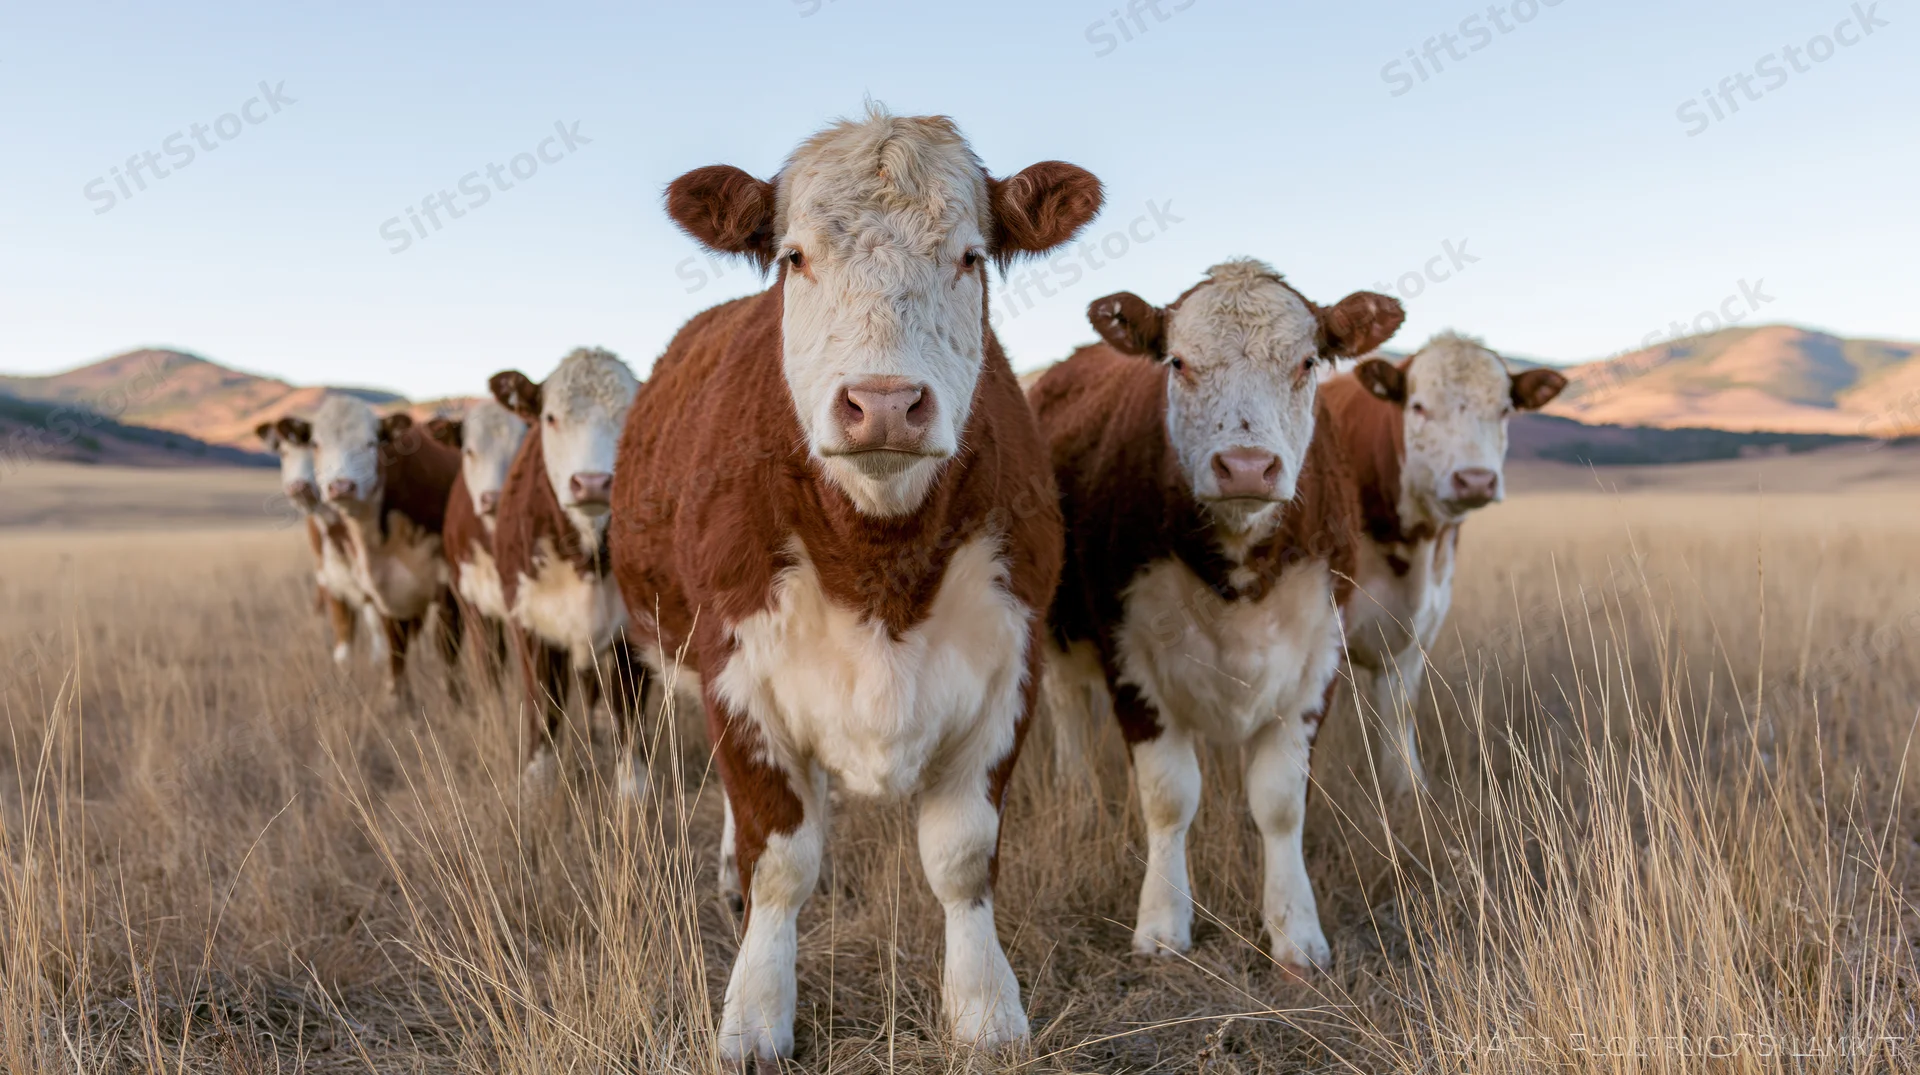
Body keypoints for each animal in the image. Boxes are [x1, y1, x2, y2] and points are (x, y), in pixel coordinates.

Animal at [308, 395, 464, 703]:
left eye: (370, 443)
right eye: (317, 444)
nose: (340, 486)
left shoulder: (448, 587)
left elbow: (447, 647)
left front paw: (456, 700)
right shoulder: (384, 589)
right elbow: (395, 649)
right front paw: (397, 699)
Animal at [489, 351, 648, 801]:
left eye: (628, 415)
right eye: (551, 417)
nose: (592, 482)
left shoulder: (634, 630)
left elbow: (629, 706)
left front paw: (632, 785)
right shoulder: (528, 623)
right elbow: (543, 704)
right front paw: (537, 783)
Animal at [608, 107, 1100, 1064]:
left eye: (970, 256)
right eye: (795, 256)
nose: (882, 403)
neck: (879, 559)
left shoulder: (1008, 664)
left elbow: (962, 855)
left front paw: (986, 1009)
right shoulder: (735, 670)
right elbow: (777, 856)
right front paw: (755, 1013)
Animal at [1030, 260, 1403, 972]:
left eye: (1307, 361)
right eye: (1178, 362)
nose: (1247, 466)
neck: (1239, 564)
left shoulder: (1319, 657)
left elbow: (1280, 802)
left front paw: (1296, 932)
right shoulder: (1129, 655)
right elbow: (1169, 795)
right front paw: (1161, 923)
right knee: (1067, 714)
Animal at [1322, 332, 1566, 795]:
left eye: (1504, 409)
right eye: (1418, 406)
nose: (1475, 480)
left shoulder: (1420, 627)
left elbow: (1400, 709)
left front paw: (1409, 788)